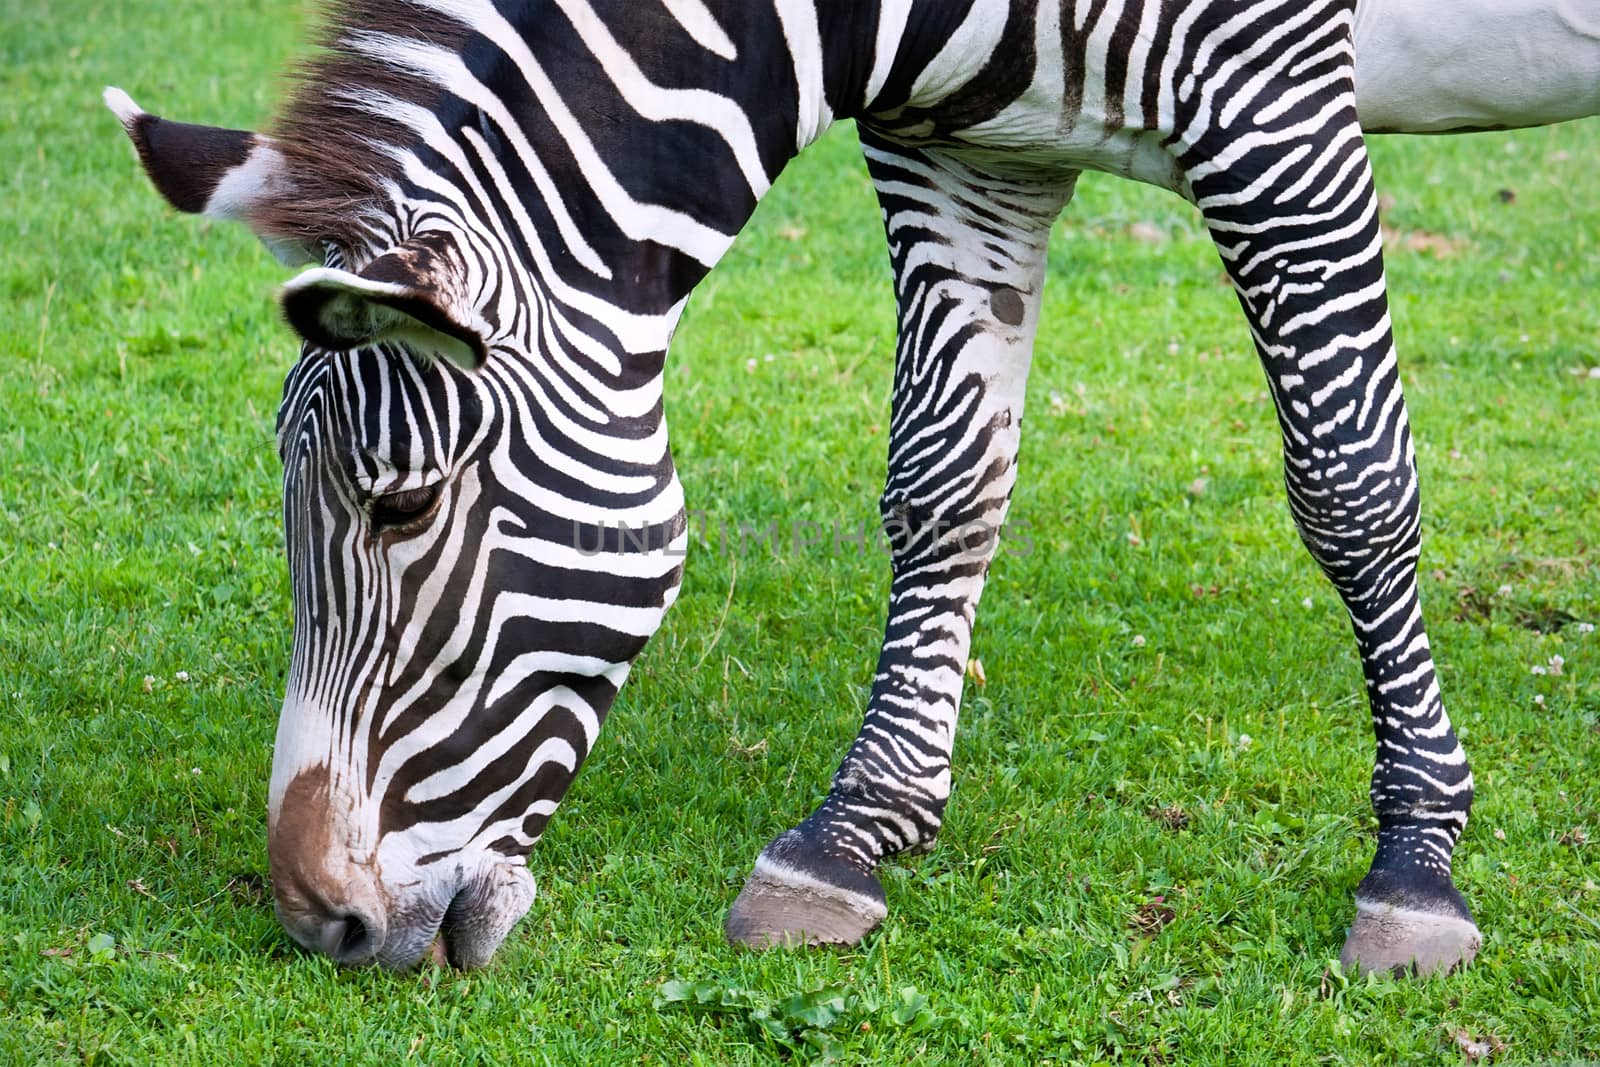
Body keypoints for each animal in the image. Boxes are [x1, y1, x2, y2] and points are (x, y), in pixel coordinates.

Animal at [106, 0, 1593, 972]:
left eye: (401, 507)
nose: (316, 919)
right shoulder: (969, 141)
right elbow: (942, 479)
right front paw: (852, 833)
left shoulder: (1272, 94)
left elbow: (1353, 481)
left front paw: (1418, 858)